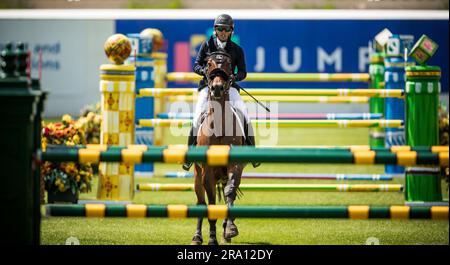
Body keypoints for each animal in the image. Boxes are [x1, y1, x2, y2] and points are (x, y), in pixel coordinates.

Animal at [190, 50, 246, 244]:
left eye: (229, 64)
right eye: (208, 64)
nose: (217, 88)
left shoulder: (235, 165)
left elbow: (230, 191)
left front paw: (230, 229)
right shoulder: (207, 171)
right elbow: (211, 201)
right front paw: (212, 238)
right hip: (197, 177)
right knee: (200, 202)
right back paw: (197, 236)